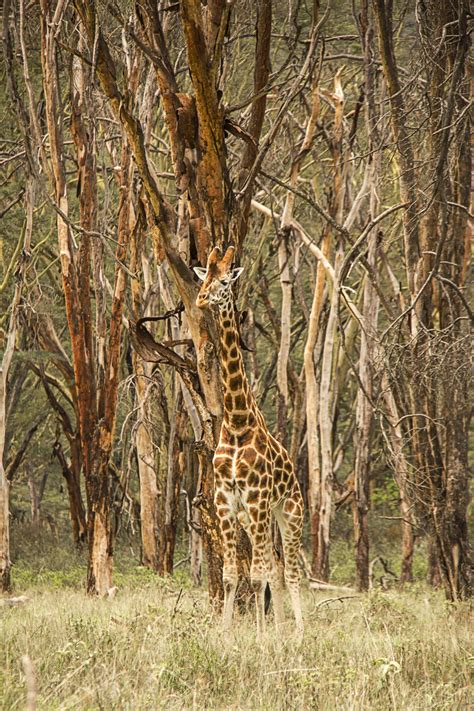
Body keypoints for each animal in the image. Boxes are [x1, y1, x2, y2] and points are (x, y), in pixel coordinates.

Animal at [193, 246, 304, 640]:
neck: (238, 422)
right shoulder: (225, 500)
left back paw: (297, 629)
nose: (200, 299)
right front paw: (226, 634)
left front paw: (260, 635)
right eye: (204, 277)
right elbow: (230, 576)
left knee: (290, 571)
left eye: (225, 281)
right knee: (275, 567)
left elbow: (256, 578)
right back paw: (282, 627)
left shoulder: (254, 499)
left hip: (289, 512)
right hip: (263, 517)